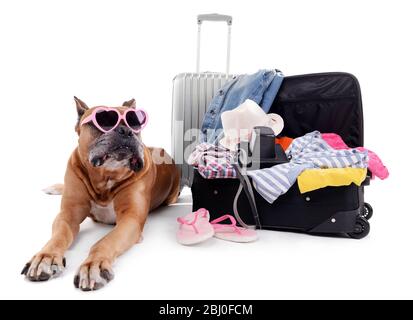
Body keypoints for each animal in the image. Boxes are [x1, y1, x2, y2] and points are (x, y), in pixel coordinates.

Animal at [20, 97, 179, 290]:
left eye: (134, 123)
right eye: (103, 120)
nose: (126, 130)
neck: (106, 177)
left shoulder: (130, 220)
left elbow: (104, 241)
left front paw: (93, 265)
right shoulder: (67, 215)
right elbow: (59, 236)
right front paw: (46, 257)